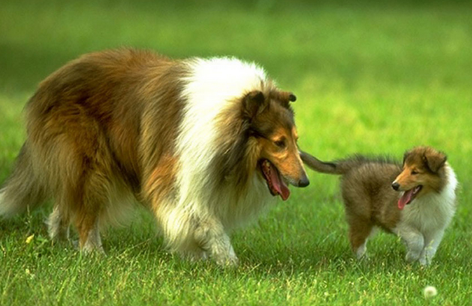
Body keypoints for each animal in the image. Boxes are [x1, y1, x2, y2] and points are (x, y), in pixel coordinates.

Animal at [0, 47, 310, 266]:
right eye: (279, 143)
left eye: (296, 140)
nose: (305, 182)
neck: (224, 125)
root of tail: (46, 85)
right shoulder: (174, 176)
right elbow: (205, 219)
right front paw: (227, 261)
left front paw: (203, 256)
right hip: (90, 163)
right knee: (85, 212)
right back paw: (93, 254)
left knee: (66, 203)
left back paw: (61, 243)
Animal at [302, 146, 458, 266]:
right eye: (404, 169)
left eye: (415, 172)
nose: (394, 185)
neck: (426, 198)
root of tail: (355, 164)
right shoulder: (394, 220)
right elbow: (417, 239)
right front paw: (410, 257)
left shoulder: (436, 229)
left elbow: (429, 249)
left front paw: (422, 267)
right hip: (361, 214)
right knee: (356, 239)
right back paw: (364, 262)